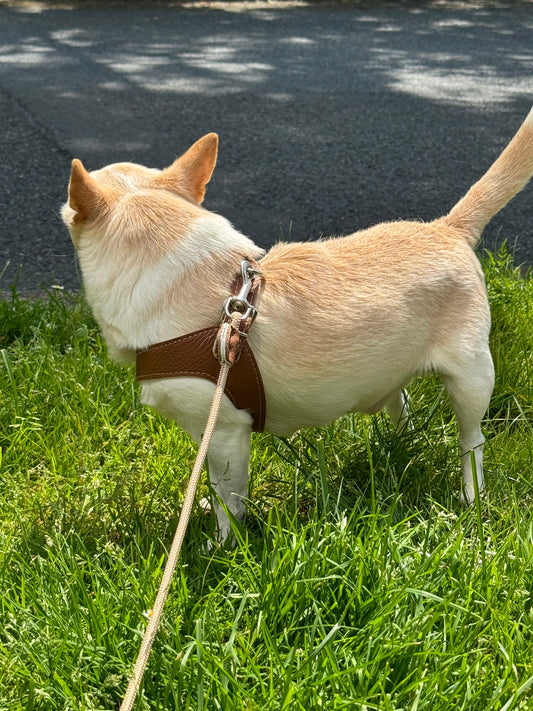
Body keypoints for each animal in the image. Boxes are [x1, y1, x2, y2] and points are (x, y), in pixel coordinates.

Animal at [61, 105, 532, 544]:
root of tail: (447, 229)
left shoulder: (225, 432)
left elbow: (226, 495)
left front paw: (221, 547)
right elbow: (211, 487)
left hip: (472, 379)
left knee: (472, 441)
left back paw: (471, 495)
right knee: (401, 405)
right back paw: (399, 447)